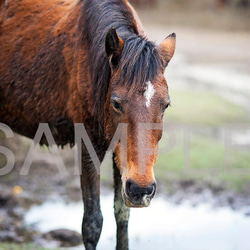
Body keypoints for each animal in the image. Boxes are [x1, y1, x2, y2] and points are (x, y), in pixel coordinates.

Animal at [0, 0, 176, 249]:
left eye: (166, 105)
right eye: (116, 103)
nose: (141, 190)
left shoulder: (120, 157)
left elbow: (122, 214)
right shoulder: (88, 146)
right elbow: (92, 222)